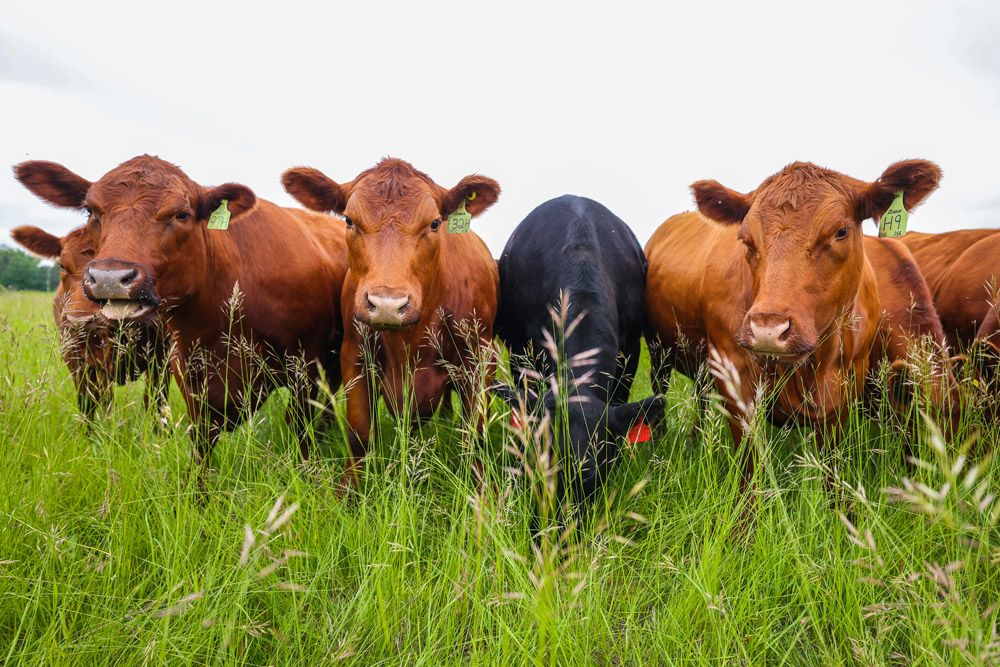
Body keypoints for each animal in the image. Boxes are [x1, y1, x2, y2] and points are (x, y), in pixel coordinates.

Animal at [10, 227, 170, 420]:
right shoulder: (74, 355)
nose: (80, 319)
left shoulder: (163, 357)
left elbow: (156, 405)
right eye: (62, 265)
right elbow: (87, 403)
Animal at [282, 159, 500, 488]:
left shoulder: (478, 359)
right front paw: (350, 491)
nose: (387, 305)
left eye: (435, 223)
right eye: (348, 220)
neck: (409, 342)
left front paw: (481, 492)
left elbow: (475, 434)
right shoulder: (355, 355)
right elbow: (359, 434)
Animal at [644, 162, 956, 512]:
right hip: (658, 355)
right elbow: (750, 464)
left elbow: (832, 464)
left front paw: (841, 517)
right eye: (746, 240)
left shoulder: (851, 380)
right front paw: (744, 523)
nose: (768, 330)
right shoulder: (732, 371)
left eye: (841, 231)